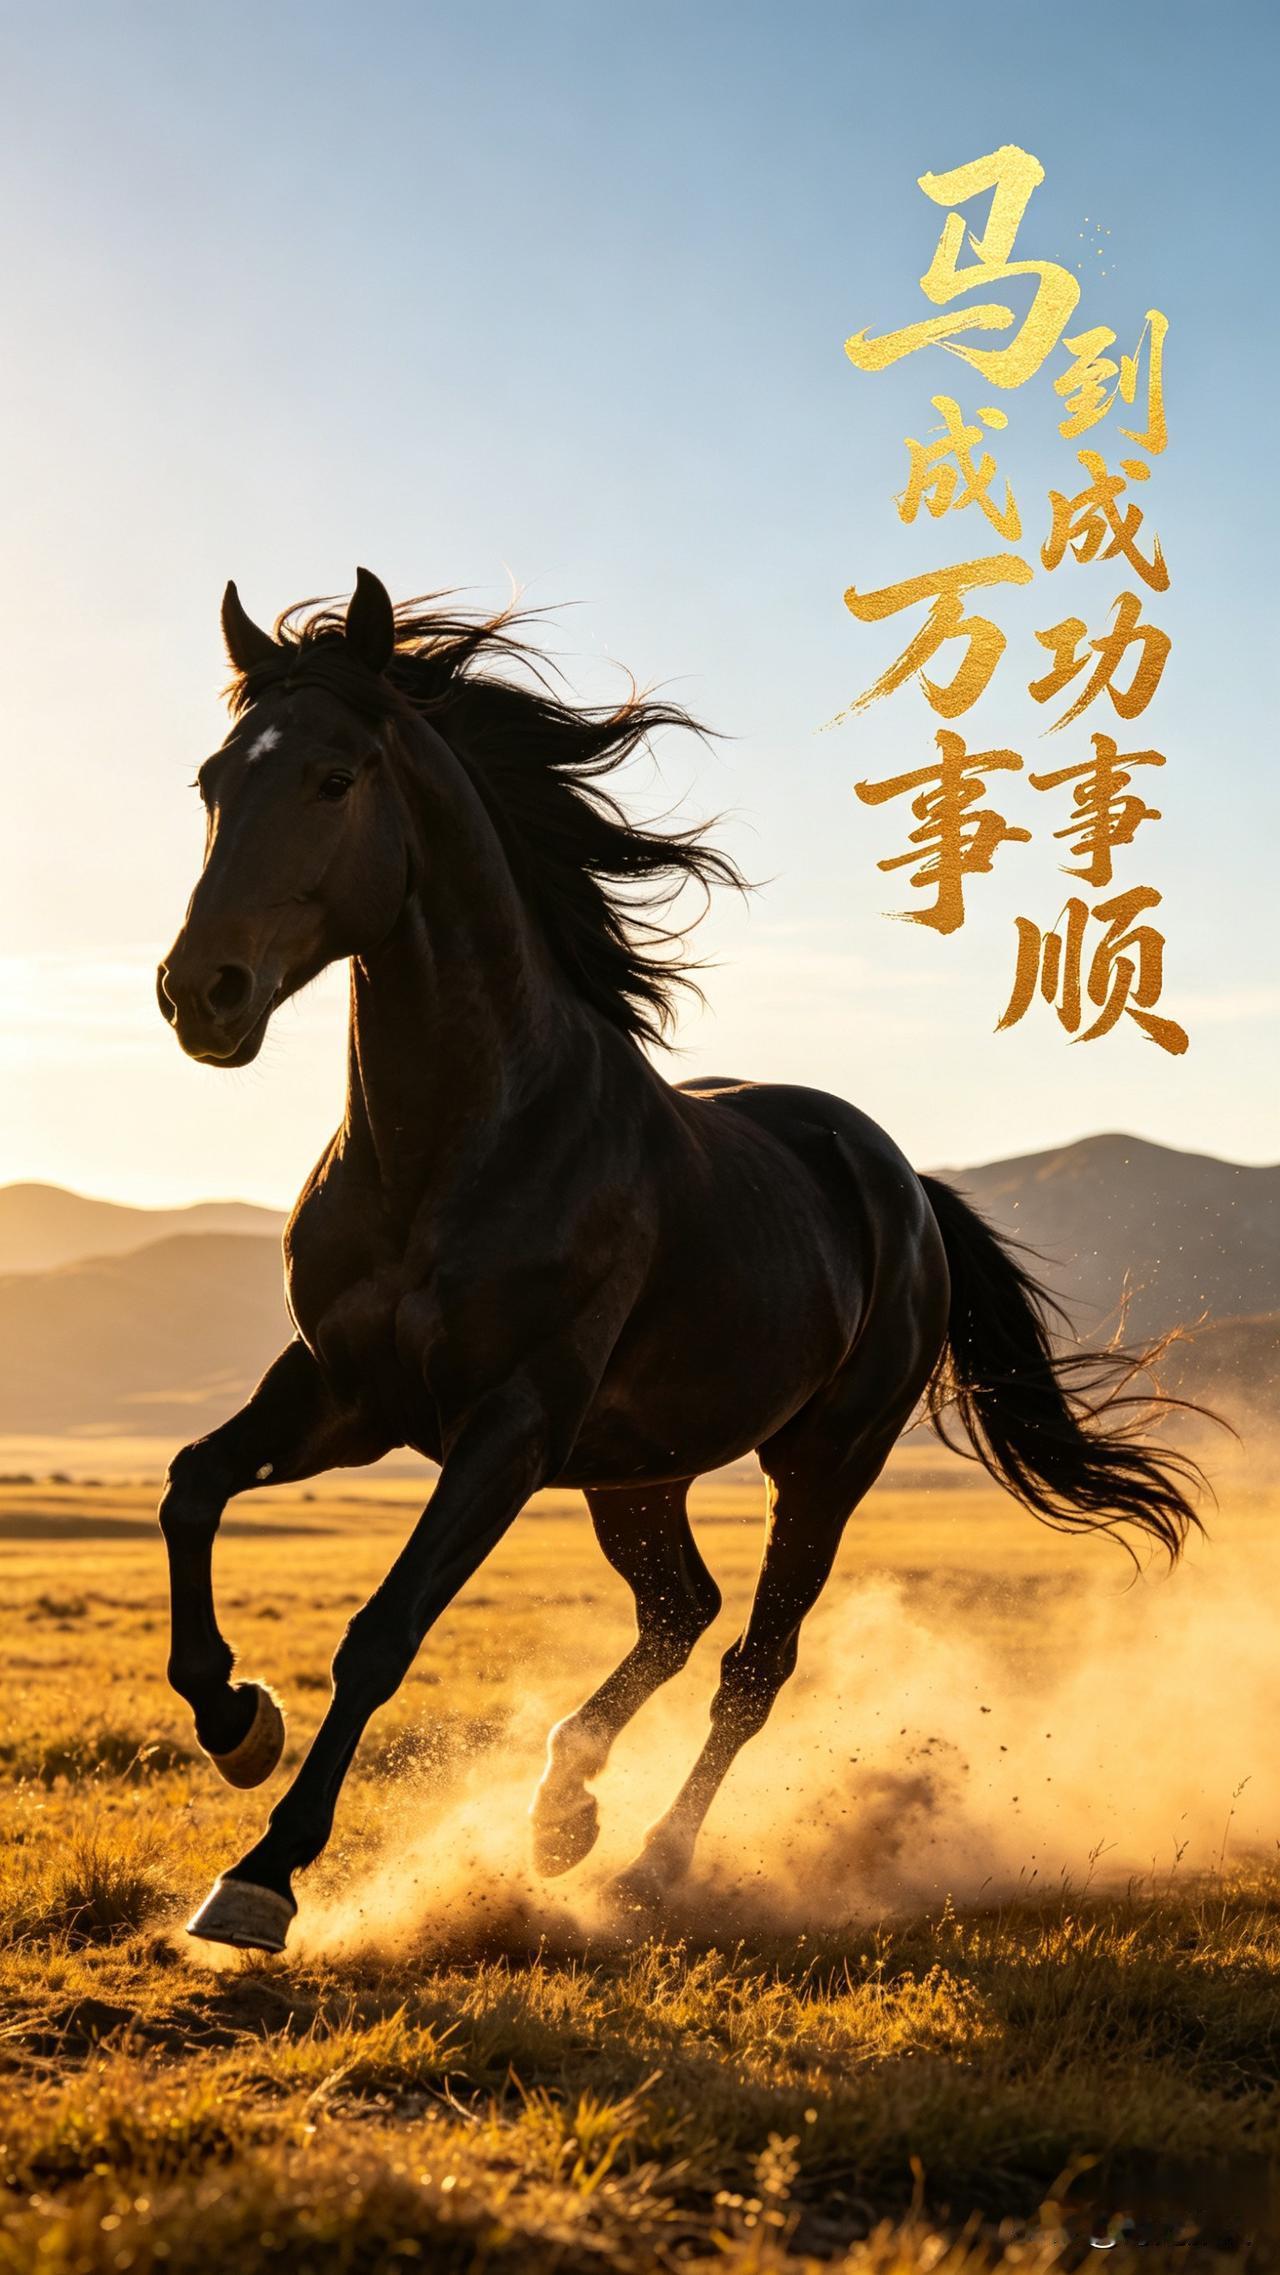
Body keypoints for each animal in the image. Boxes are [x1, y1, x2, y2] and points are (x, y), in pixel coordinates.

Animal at [156, 568, 1203, 1955]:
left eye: (334, 777)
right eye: (214, 780)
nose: (199, 995)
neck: (463, 1145)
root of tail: (902, 1186)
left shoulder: (507, 1425)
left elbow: (382, 1632)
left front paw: (263, 1876)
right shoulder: (343, 1392)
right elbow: (189, 1487)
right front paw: (238, 1722)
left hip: (821, 1463)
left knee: (751, 1659)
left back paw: (650, 1860)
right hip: (634, 1469)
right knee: (680, 1610)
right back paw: (562, 1807)